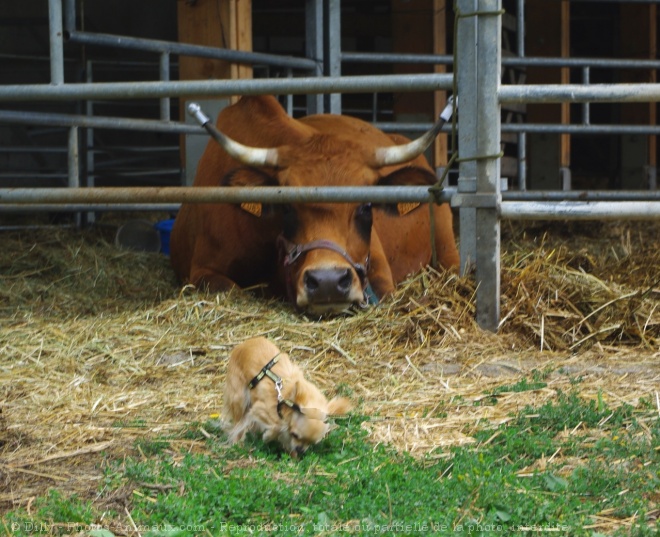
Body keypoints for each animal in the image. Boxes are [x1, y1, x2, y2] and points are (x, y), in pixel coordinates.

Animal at [224, 338, 354, 454]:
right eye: (295, 435)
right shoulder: (259, 408)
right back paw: (237, 442)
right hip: (239, 399)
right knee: (238, 423)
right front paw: (268, 436)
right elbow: (278, 426)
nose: (301, 450)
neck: (285, 401)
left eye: (311, 443)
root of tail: (243, 344)